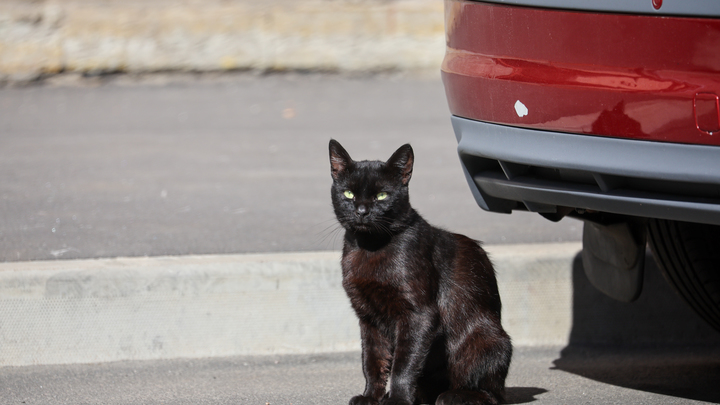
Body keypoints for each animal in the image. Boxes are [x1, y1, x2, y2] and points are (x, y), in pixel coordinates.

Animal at [330, 140, 510, 404]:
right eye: (348, 194)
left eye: (382, 195)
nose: (362, 211)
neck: (370, 247)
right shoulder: (368, 317)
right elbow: (372, 361)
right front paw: (371, 396)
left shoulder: (419, 314)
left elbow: (404, 364)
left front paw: (397, 400)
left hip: (487, 339)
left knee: (490, 393)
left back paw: (455, 395)